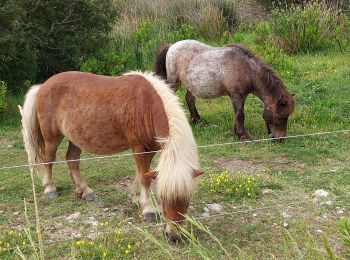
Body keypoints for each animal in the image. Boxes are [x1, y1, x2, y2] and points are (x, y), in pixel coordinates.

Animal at [19, 70, 204, 241]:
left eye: (188, 199)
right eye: (163, 199)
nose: (173, 235)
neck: (146, 105)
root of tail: (42, 86)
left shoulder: (150, 149)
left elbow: (141, 175)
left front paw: (136, 197)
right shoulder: (138, 147)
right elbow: (144, 178)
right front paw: (148, 209)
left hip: (75, 138)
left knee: (72, 160)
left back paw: (84, 191)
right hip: (52, 138)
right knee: (49, 160)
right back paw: (50, 189)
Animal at [154, 39, 294, 140]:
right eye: (281, 117)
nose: (280, 139)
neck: (246, 69)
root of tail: (172, 46)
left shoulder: (242, 96)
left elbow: (238, 114)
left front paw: (237, 132)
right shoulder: (236, 95)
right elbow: (240, 114)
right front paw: (243, 136)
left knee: (189, 99)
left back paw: (197, 120)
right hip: (174, 82)